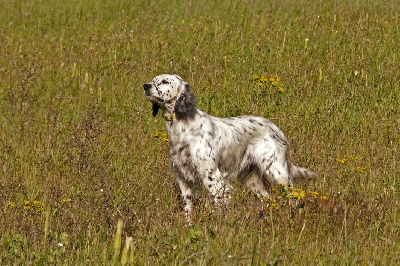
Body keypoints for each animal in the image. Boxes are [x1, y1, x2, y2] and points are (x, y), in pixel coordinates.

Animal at [143, 73, 316, 218]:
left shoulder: (212, 176)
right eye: (153, 79)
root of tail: (276, 128)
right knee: (268, 197)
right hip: (251, 177)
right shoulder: (183, 178)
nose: (145, 85)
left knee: (292, 196)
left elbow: (218, 203)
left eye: (165, 81)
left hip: (276, 172)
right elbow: (188, 208)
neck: (182, 126)